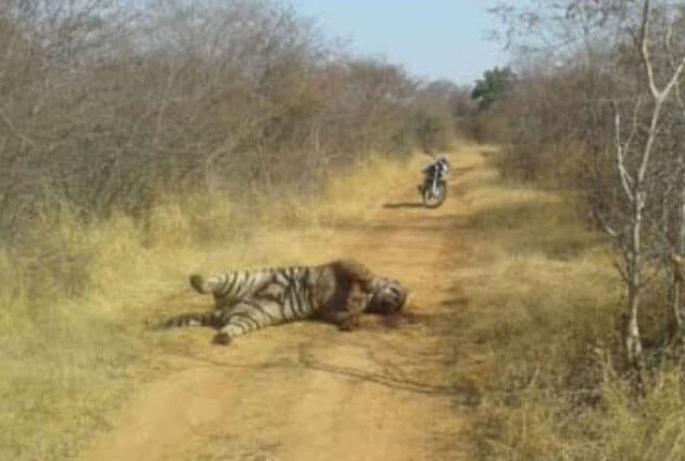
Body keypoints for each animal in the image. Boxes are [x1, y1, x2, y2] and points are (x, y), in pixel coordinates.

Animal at [158, 259, 408, 345]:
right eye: (397, 294)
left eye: (396, 306)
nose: (394, 304)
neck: (371, 299)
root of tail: (225, 310)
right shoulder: (346, 267)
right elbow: (360, 273)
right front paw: (361, 290)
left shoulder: (328, 310)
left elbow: (345, 312)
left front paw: (351, 320)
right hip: (241, 279)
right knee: (211, 282)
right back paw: (197, 280)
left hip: (251, 316)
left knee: (230, 328)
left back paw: (223, 337)